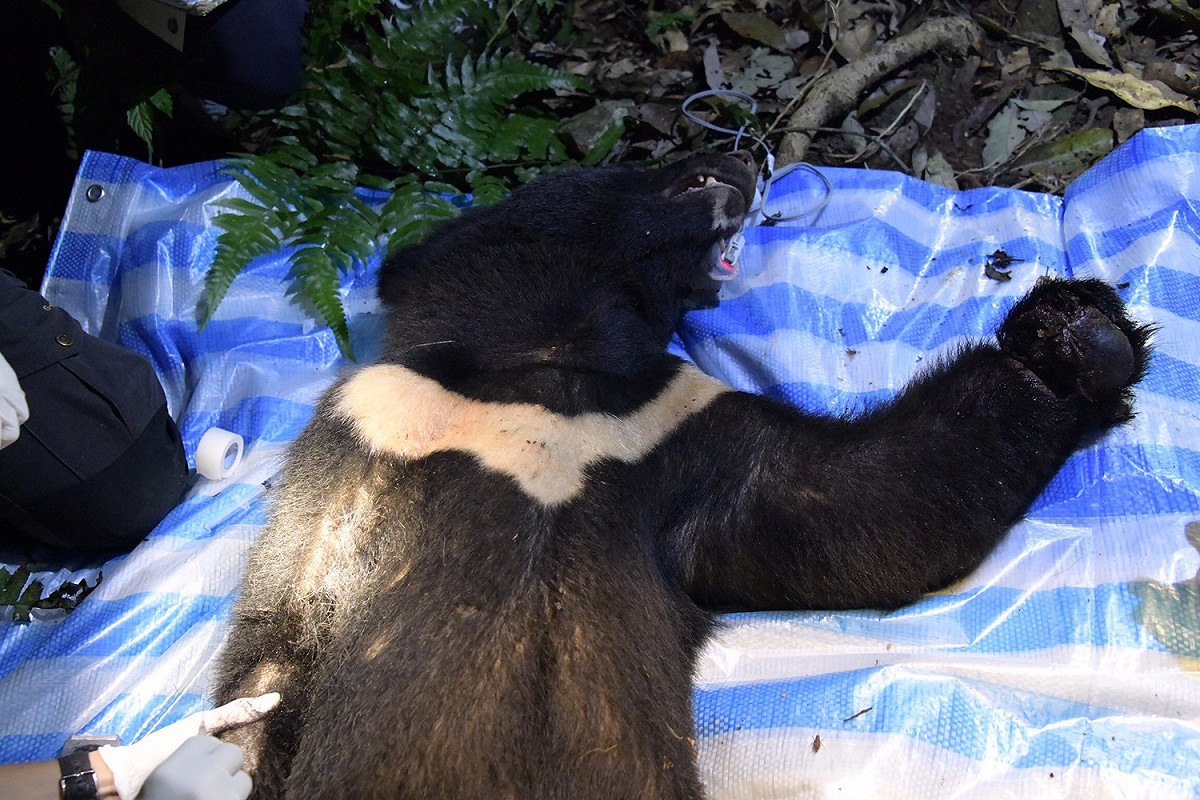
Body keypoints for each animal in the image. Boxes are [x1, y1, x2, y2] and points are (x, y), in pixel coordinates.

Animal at [213, 151, 1152, 799]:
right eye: (623, 159)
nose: (745, 157)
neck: (552, 360)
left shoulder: (680, 429)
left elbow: (868, 502)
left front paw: (1073, 333)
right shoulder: (369, 426)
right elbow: (276, 635)